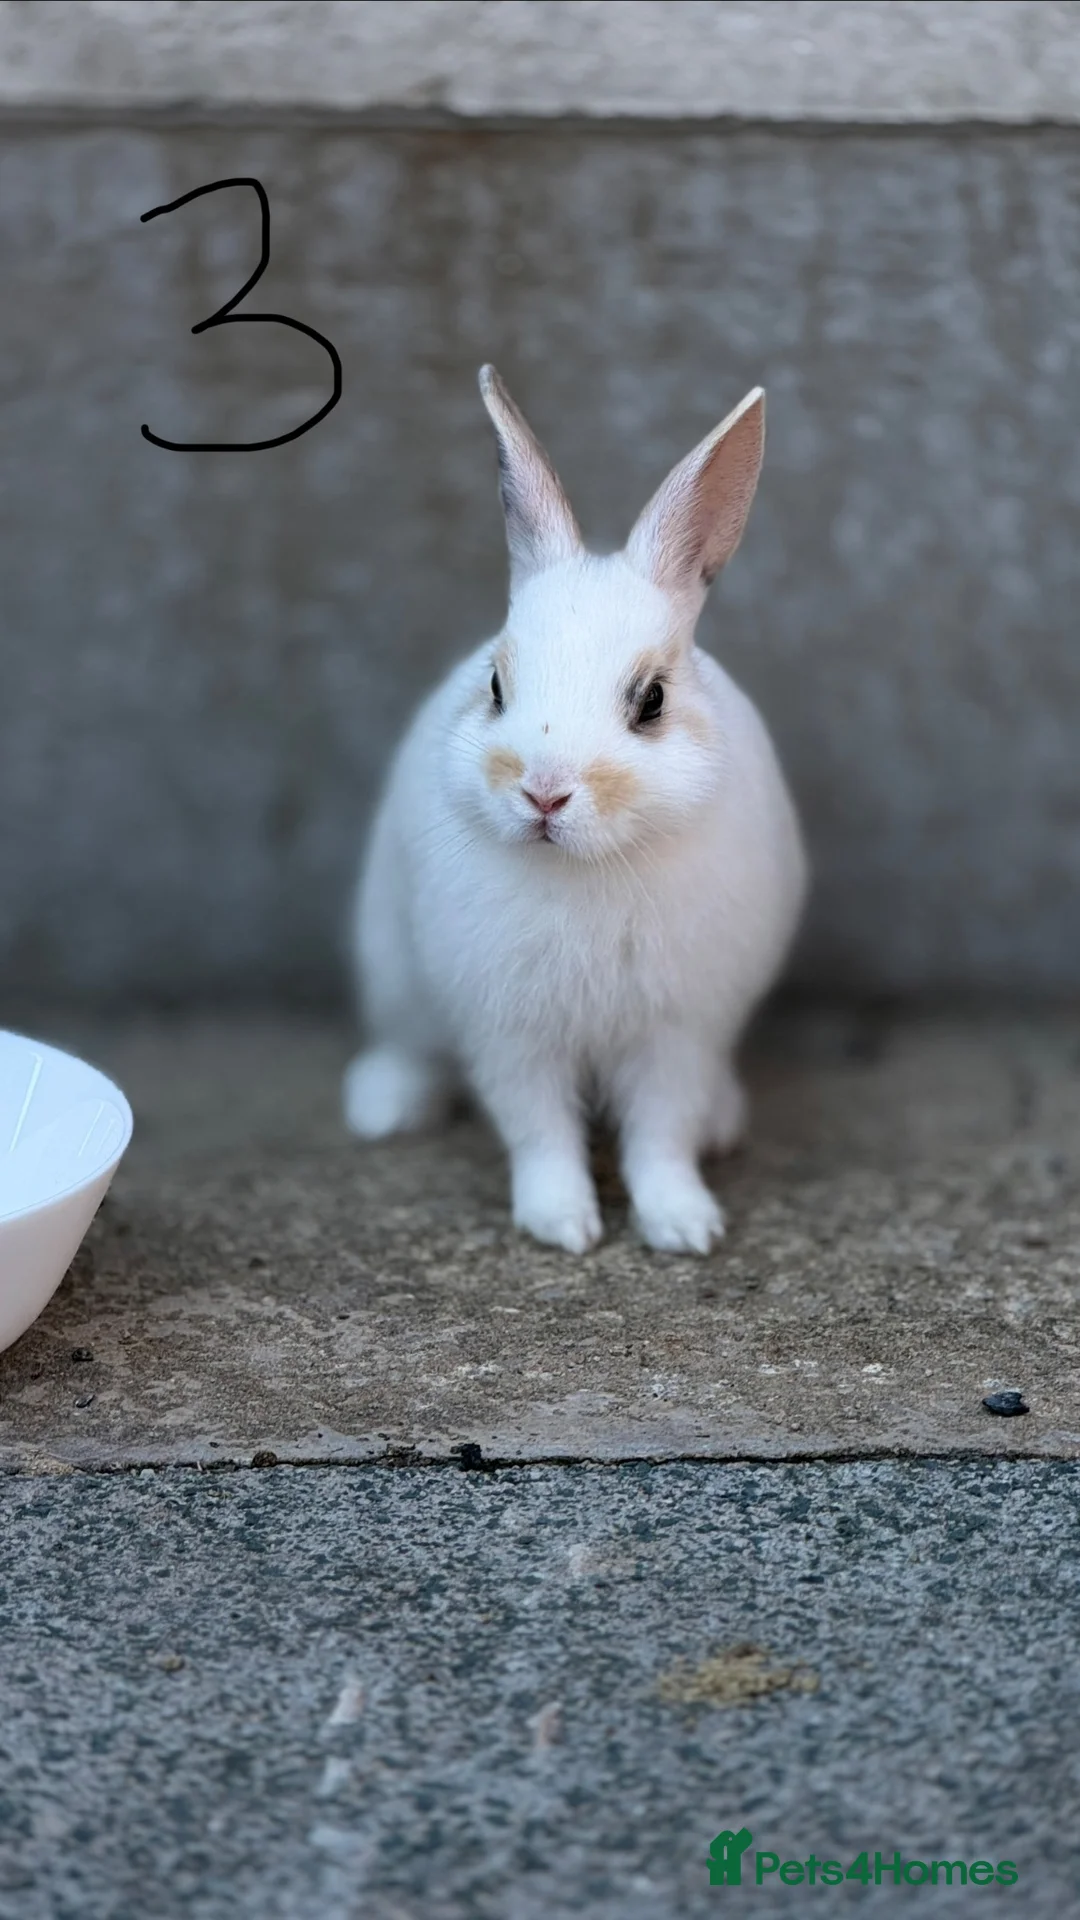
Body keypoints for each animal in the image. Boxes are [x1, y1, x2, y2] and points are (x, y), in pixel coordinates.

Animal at [343, 366, 807, 1256]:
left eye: (651, 700)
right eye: (495, 686)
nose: (544, 792)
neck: (588, 864)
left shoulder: (677, 1036)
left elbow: (660, 1137)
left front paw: (684, 1227)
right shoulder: (512, 1033)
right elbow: (539, 1131)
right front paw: (561, 1223)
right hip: (396, 975)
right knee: (414, 1046)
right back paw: (385, 1107)